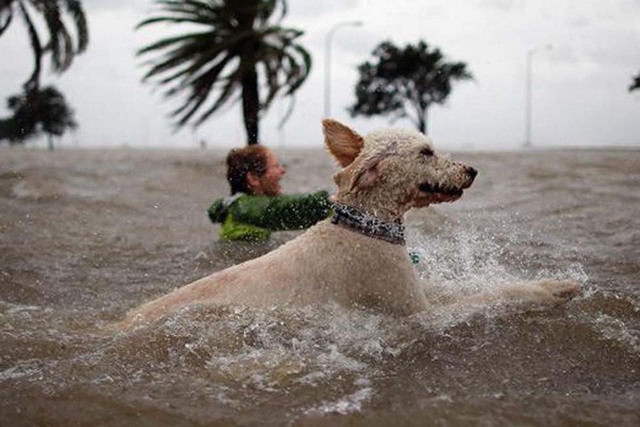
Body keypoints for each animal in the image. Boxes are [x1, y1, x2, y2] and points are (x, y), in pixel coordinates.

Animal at [116, 120, 580, 332]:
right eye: (427, 152)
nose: (472, 170)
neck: (364, 226)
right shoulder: (415, 314)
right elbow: (496, 296)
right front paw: (551, 291)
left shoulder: (415, 289)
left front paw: (553, 281)